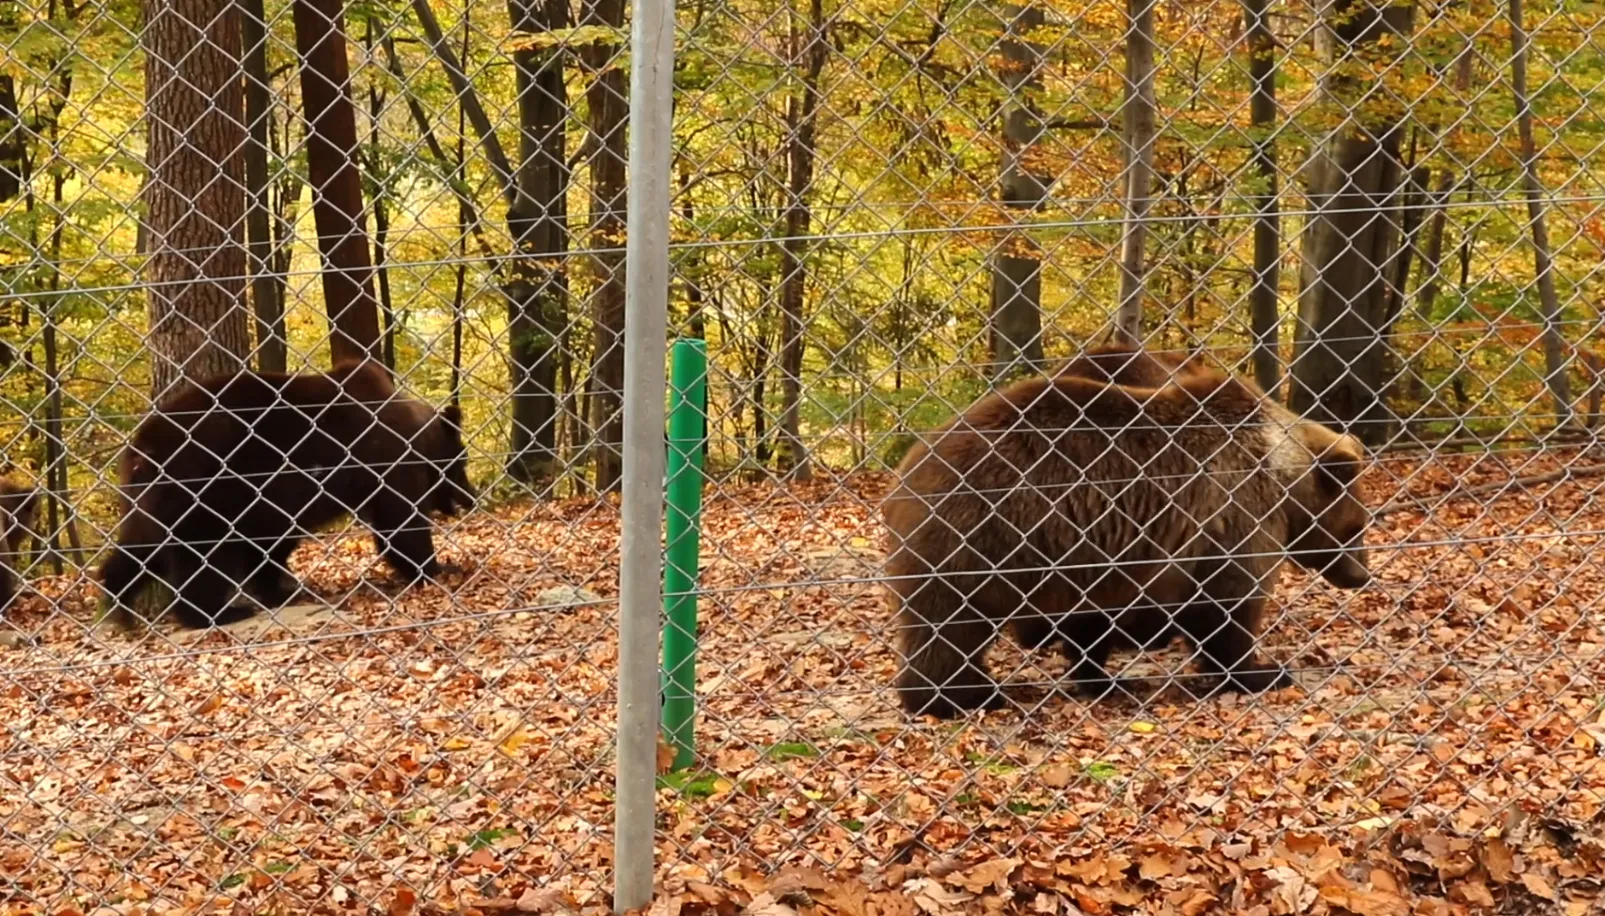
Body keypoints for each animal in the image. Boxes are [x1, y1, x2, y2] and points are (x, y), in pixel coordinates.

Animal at [99, 357, 471, 632]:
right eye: (461, 461)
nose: (471, 497)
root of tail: (141, 448)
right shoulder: (382, 462)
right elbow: (399, 523)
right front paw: (436, 567)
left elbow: (271, 544)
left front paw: (276, 588)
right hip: (201, 487)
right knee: (201, 555)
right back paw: (215, 613)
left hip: (153, 500)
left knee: (140, 546)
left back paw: (119, 602)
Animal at [885, 354, 1373, 721]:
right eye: (1359, 527)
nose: (1362, 575)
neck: (1285, 474)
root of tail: (908, 471)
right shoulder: (1234, 513)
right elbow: (1229, 606)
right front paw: (1263, 672)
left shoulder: (1099, 558)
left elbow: (1092, 623)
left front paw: (1103, 677)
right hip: (980, 536)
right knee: (950, 624)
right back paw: (959, 696)